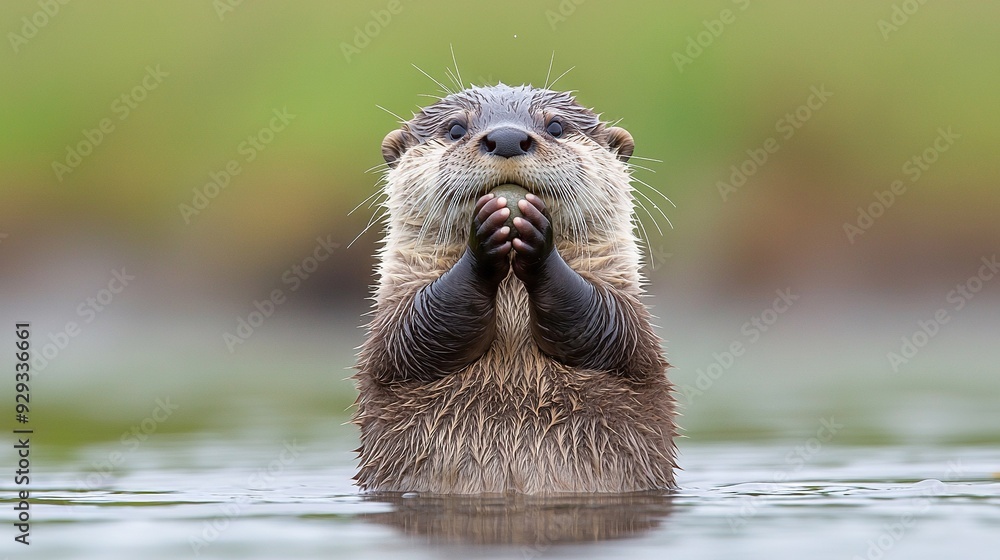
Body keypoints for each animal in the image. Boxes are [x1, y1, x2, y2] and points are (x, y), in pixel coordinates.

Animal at [354, 83, 680, 494]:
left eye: (556, 126)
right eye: (455, 129)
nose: (507, 137)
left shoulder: (628, 319)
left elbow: (599, 322)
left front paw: (538, 241)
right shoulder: (393, 320)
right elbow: (420, 330)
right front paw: (485, 240)